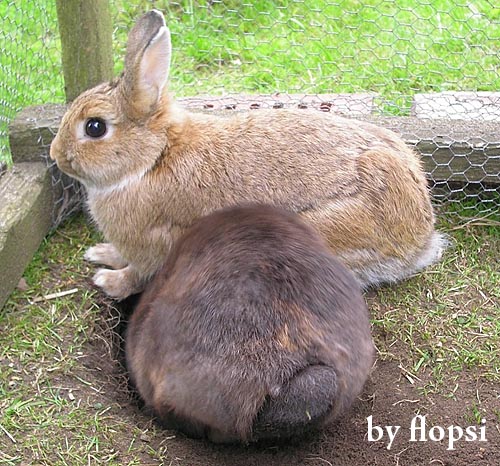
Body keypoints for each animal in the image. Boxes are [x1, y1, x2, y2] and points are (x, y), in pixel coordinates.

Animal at [49, 9, 447, 300]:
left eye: (95, 127)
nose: (56, 155)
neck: (153, 159)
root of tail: (420, 238)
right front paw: (100, 253)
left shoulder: (156, 247)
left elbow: (137, 276)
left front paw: (107, 281)